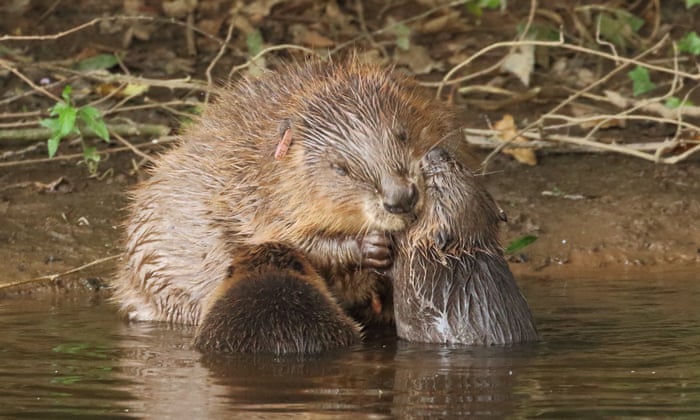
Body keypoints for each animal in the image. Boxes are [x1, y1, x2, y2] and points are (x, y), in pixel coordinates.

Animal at [114, 60, 454, 334]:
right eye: (339, 168)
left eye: (402, 134)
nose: (401, 198)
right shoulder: (261, 197)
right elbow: (292, 241)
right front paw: (372, 246)